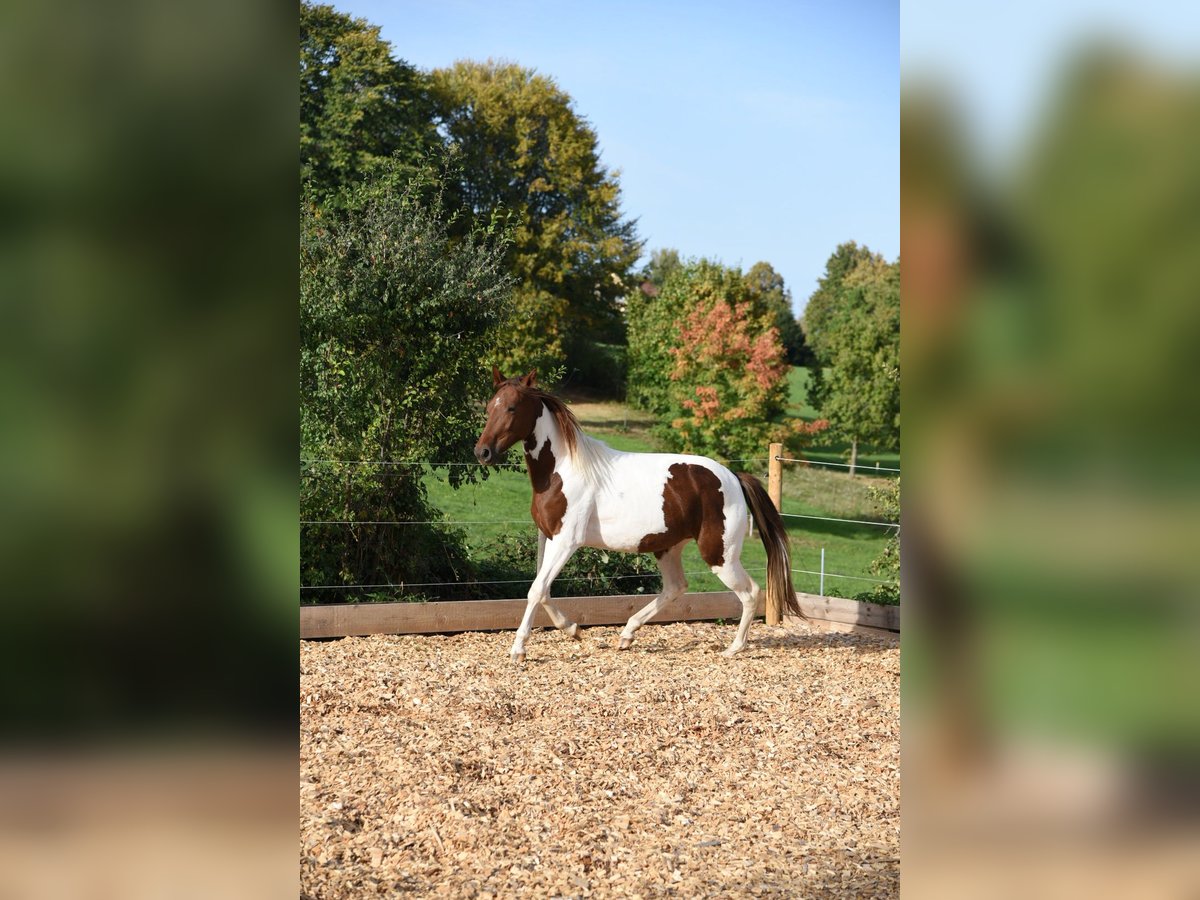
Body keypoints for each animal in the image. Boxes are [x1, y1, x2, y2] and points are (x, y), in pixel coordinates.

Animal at [474, 367, 803, 662]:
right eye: (490, 407)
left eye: (512, 407)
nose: (483, 452)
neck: (562, 471)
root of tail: (734, 477)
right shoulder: (548, 537)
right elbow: (543, 590)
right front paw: (574, 630)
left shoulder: (567, 541)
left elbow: (536, 590)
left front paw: (519, 651)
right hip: (669, 548)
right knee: (676, 587)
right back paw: (627, 635)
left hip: (720, 555)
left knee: (750, 592)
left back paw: (734, 649)